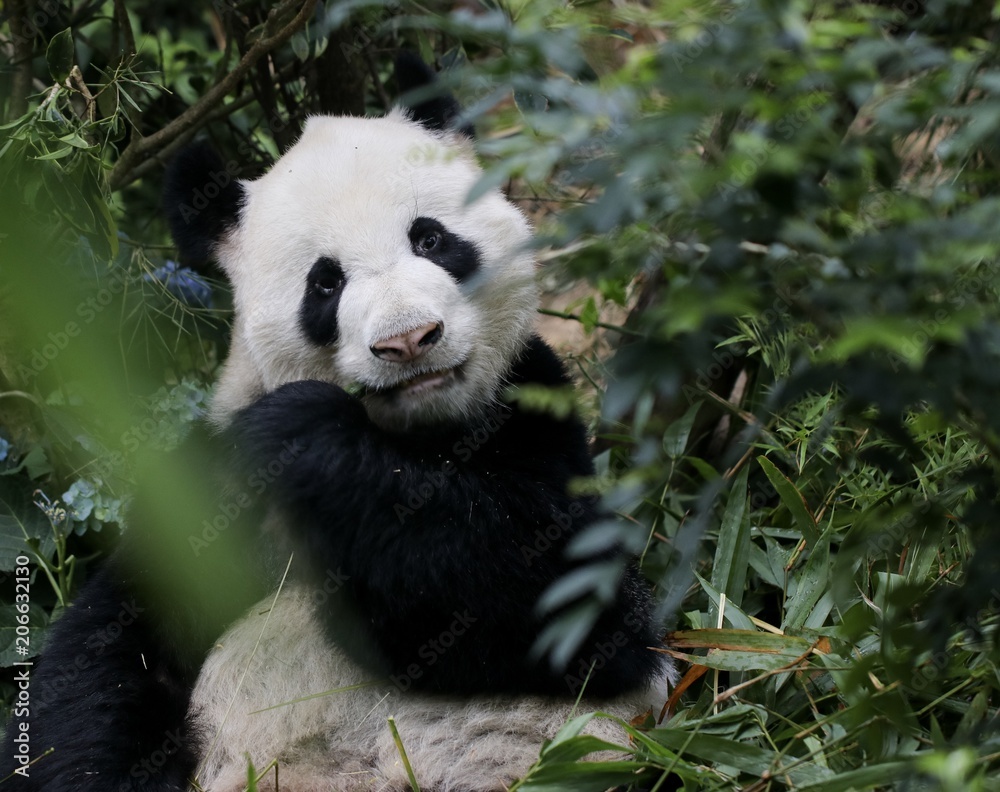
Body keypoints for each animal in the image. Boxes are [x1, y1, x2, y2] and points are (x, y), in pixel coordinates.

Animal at [0, 57, 672, 791]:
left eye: (430, 238)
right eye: (325, 283)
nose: (408, 340)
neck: (415, 437)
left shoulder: (533, 408)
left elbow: (573, 595)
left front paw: (305, 432)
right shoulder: (208, 484)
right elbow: (115, 646)